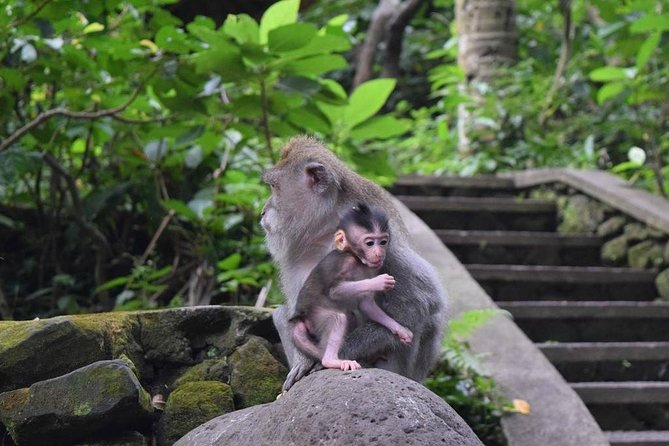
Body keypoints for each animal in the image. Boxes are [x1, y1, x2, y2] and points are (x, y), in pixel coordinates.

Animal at [290, 204, 413, 372]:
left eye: (383, 242)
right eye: (370, 243)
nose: (379, 253)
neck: (358, 260)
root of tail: (301, 317)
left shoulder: (372, 268)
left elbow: (366, 305)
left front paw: (400, 330)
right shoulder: (345, 263)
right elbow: (335, 291)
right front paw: (380, 282)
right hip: (316, 315)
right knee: (338, 318)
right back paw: (331, 360)